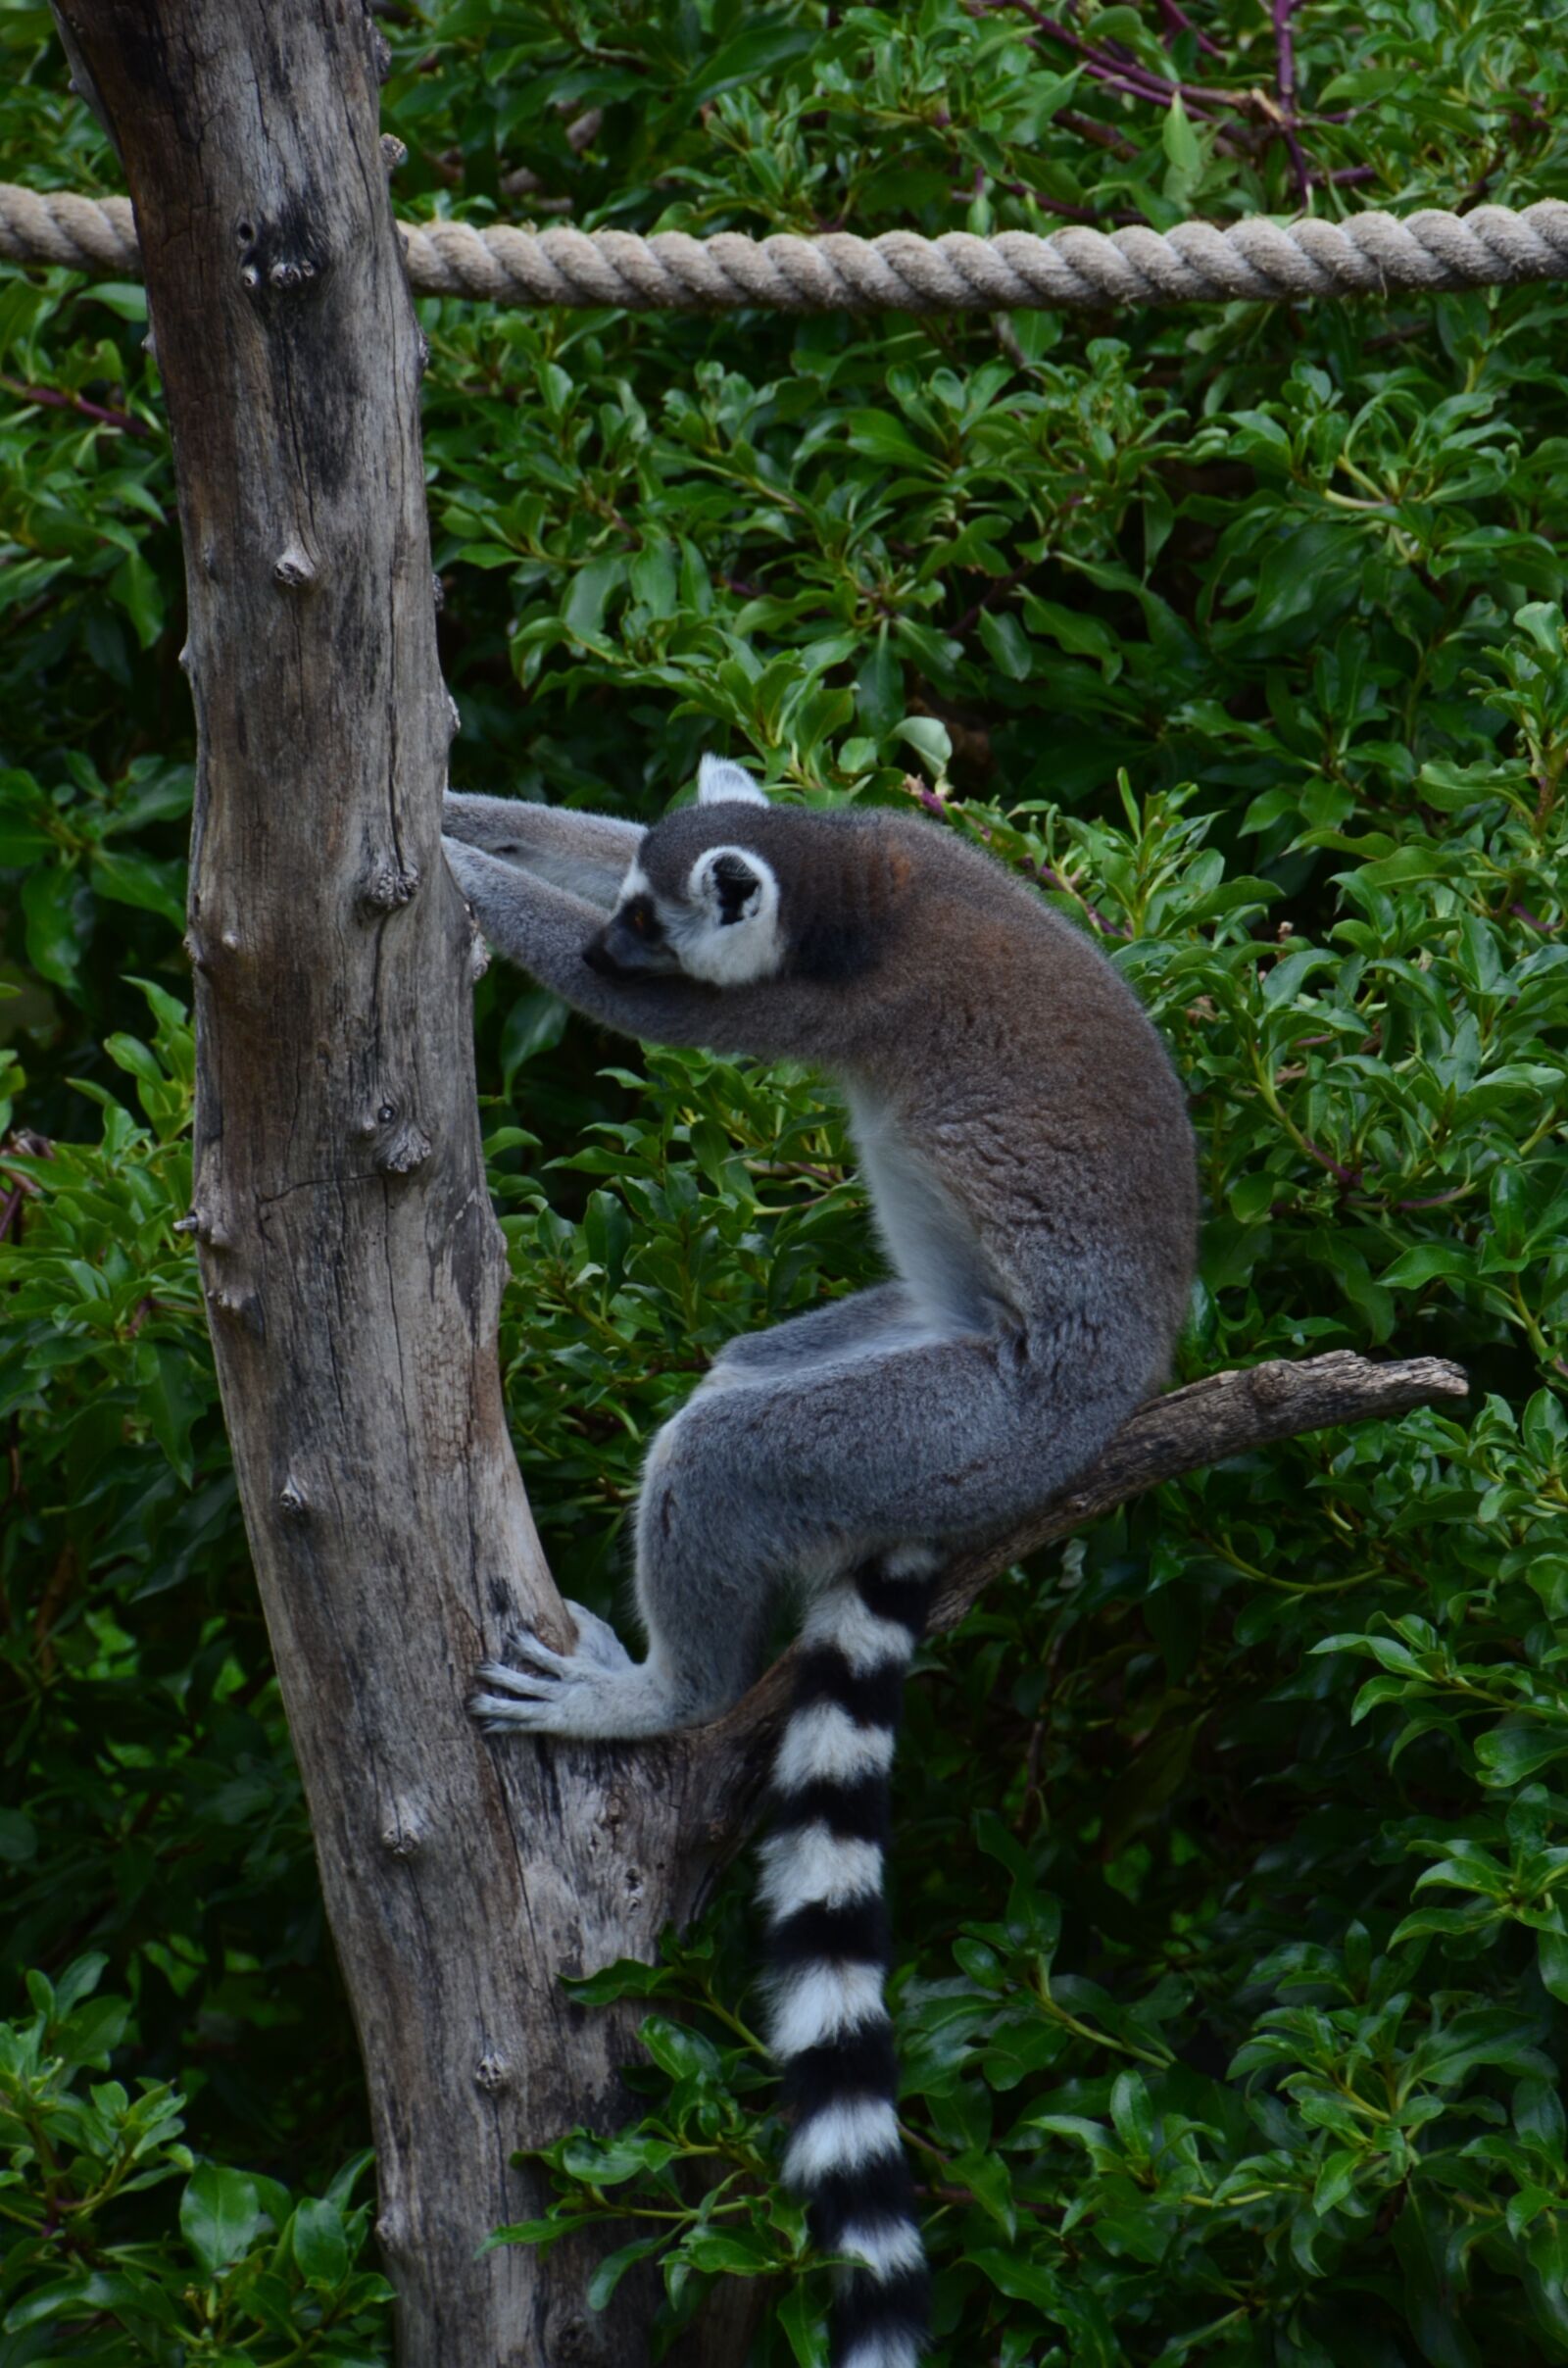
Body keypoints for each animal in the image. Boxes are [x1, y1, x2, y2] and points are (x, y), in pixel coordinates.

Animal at [443, 757, 1198, 2368]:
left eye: (646, 929)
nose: (604, 947)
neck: (855, 886)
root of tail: (1088, 1423)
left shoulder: (826, 1001)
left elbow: (675, 1024)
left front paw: (453, 875)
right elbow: (577, 829)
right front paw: (461, 810)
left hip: (959, 1421)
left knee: (730, 1460)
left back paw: (660, 1697)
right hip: (913, 1369)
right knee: (736, 1387)